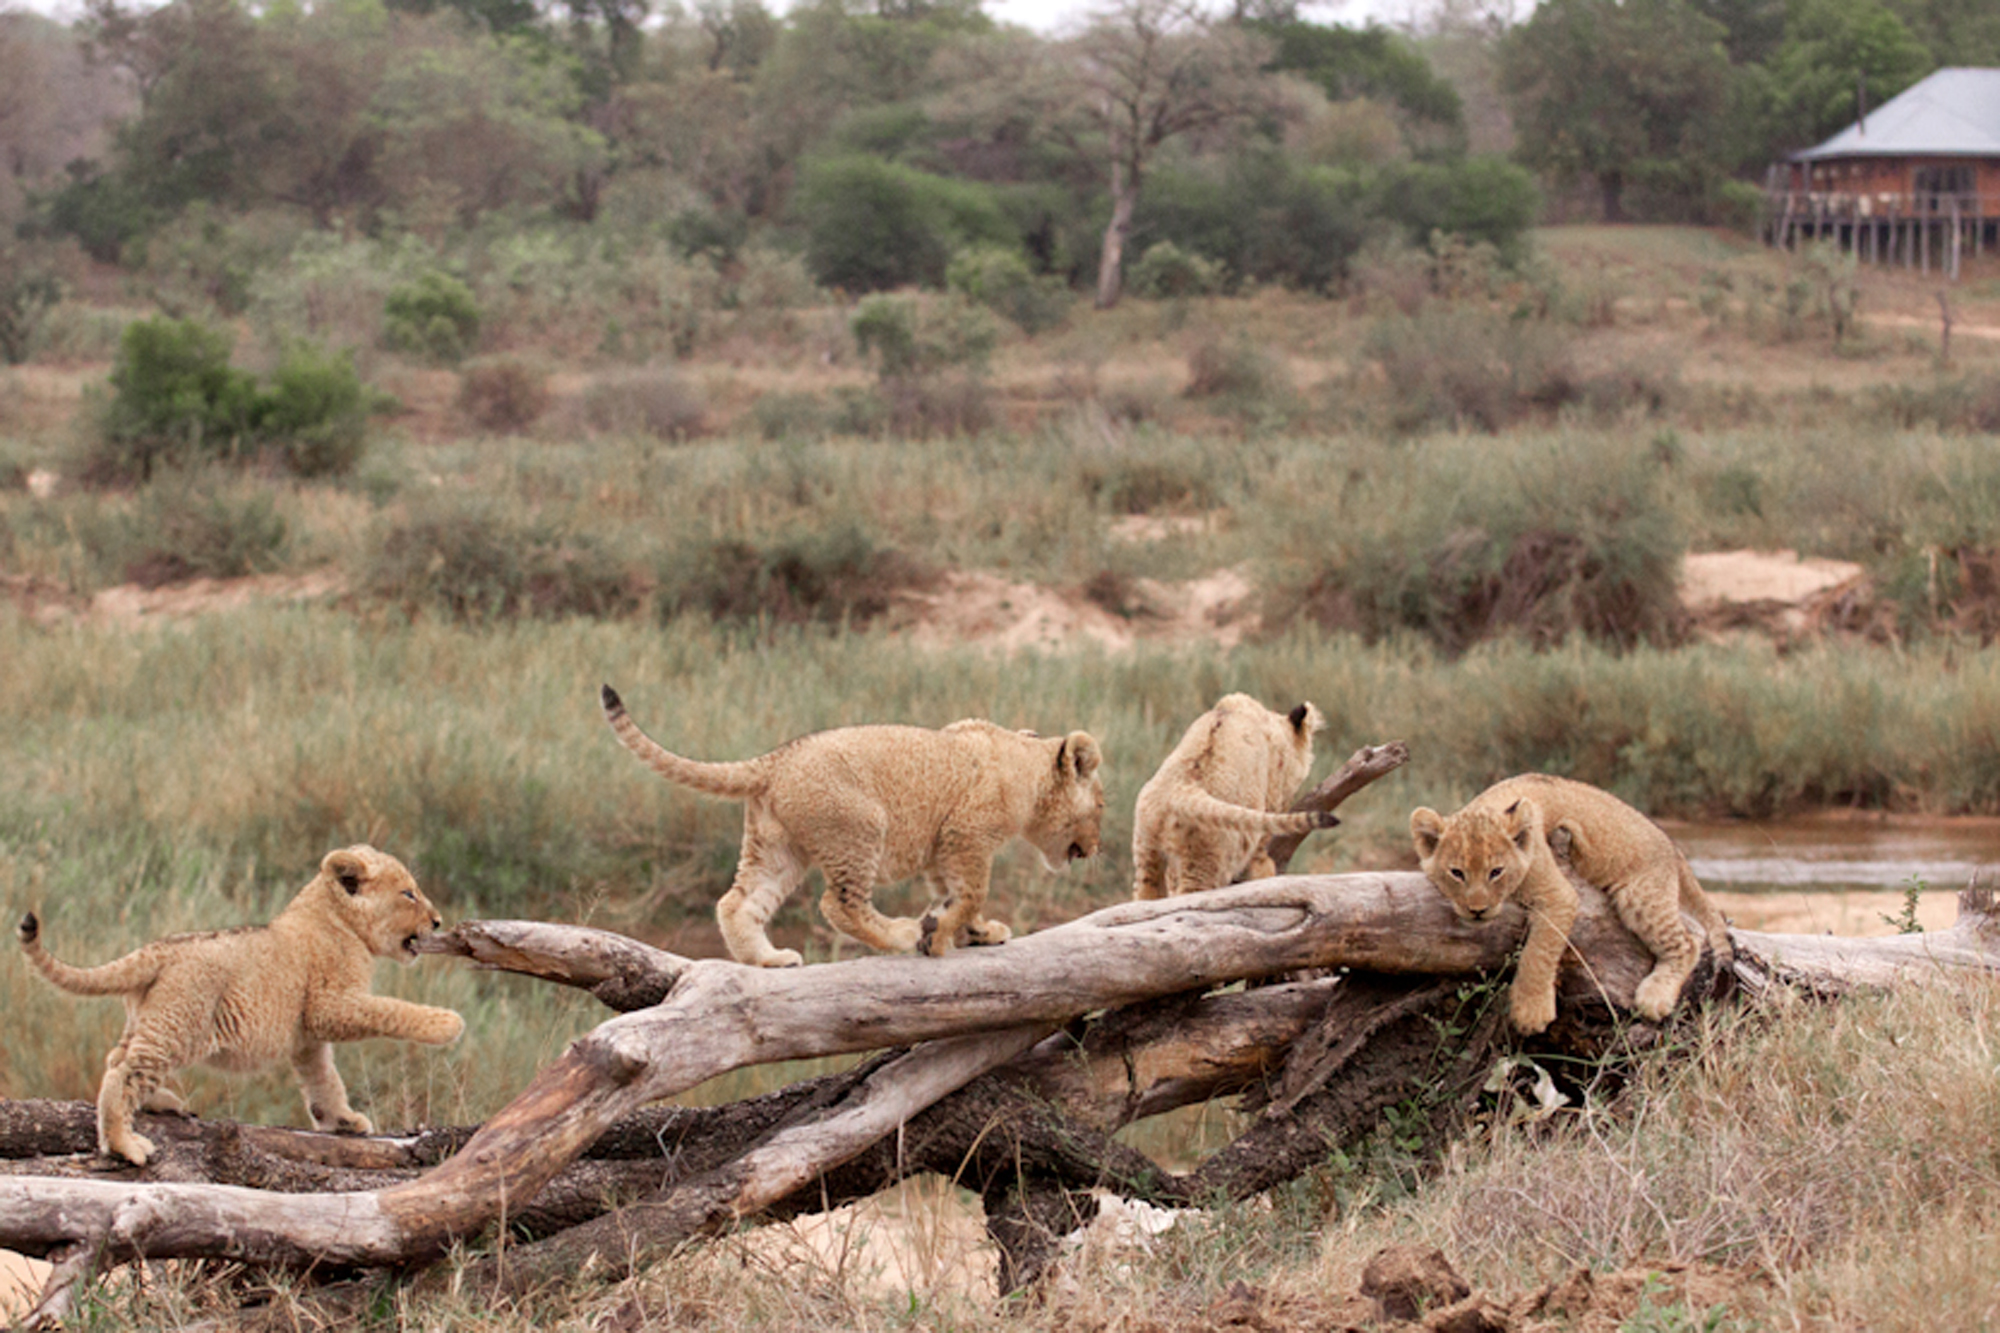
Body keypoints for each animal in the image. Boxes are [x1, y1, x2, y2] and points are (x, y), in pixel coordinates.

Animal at [17, 845, 464, 1166]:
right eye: (408, 893)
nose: (439, 922)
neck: (334, 916)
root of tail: (156, 949)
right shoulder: (331, 1005)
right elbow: (391, 1009)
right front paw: (447, 1023)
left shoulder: (307, 1035)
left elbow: (324, 1078)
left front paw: (342, 1120)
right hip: (180, 1024)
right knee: (123, 1073)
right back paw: (125, 1144)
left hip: (149, 1019)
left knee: (116, 1060)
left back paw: (160, 1103)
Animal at [602, 683, 1105, 966]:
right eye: (1101, 806)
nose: (1098, 848)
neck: (1024, 765)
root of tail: (775, 759)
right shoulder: (966, 834)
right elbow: (971, 892)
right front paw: (938, 937)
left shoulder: (944, 847)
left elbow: (956, 893)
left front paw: (978, 931)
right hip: (860, 828)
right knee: (838, 905)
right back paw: (901, 934)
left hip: (776, 849)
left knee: (736, 903)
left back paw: (768, 960)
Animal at [1131, 694, 1339, 900]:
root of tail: (1180, 791)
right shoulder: (1268, 805)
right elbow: (1260, 859)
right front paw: (1266, 873)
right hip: (1206, 861)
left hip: (1147, 855)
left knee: (1146, 895)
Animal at [1410, 774, 1732, 1034]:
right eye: (1457, 873)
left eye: (1496, 872)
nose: (1477, 910)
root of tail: (1672, 845)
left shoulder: (1558, 893)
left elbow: (1539, 951)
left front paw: (1531, 1013)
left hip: (1640, 895)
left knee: (1688, 943)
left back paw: (1655, 997)